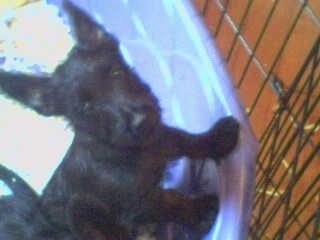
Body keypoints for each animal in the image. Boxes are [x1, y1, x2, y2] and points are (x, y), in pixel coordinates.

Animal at [0, 0, 240, 239]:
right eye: (86, 107)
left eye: (116, 73)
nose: (140, 120)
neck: (134, 151)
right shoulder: (141, 203)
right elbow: (170, 203)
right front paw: (201, 212)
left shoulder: (161, 137)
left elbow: (187, 141)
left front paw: (221, 138)